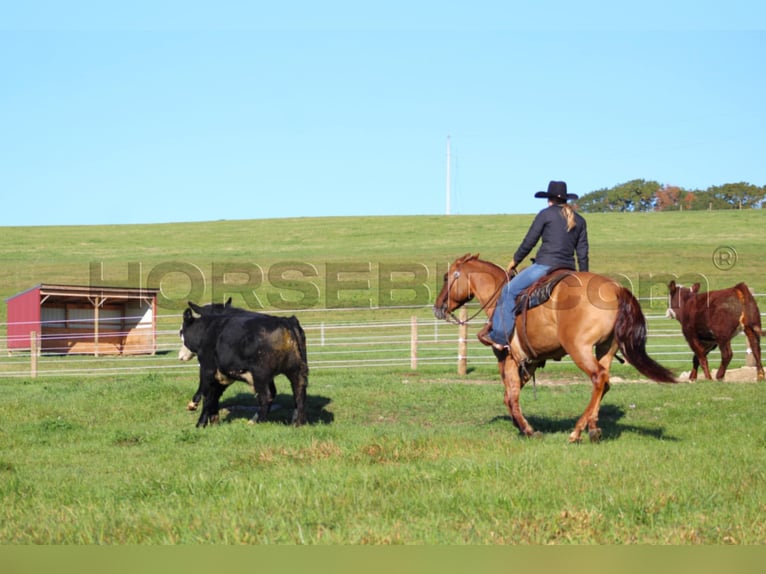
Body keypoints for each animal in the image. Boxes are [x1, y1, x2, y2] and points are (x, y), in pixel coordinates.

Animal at [180, 302, 308, 428]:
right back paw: (297, 423)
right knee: (299, 392)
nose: (180, 355)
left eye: (181, 332)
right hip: (297, 370)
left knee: (267, 396)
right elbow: (214, 395)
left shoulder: (207, 368)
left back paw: (258, 423)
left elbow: (206, 395)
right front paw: (213, 419)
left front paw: (199, 420)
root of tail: (285, 321)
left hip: (260, 374)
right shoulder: (224, 375)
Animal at [436, 253, 676, 446]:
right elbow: (511, 394)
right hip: (606, 348)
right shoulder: (530, 362)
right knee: (605, 382)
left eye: (447, 277)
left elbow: (510, 395)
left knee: (598, 377)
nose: (438, 307)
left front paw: (527, 429)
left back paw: (576, 432)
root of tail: (617, 289)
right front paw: (520, 425)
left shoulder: (508, 358)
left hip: (579, 349)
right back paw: (593, 429)